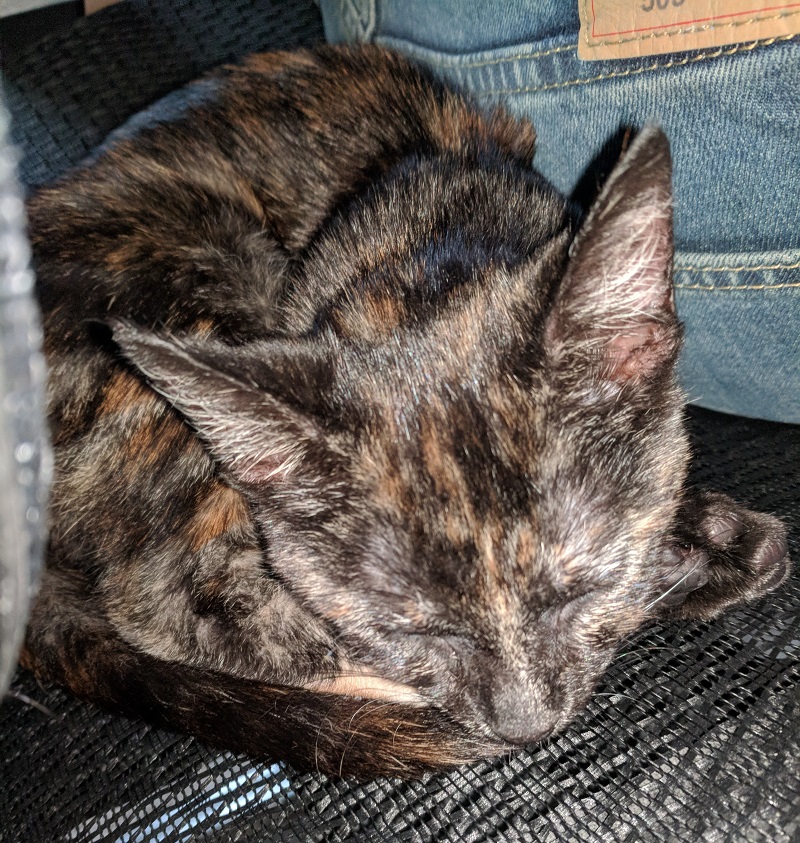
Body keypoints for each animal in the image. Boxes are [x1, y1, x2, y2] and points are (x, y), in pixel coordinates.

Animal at [20, 44, 792, 772]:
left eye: (581, 591)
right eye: (414, 630)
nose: (526, 726)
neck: (426, 256)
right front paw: (693, 554)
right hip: (216, 258)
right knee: (170, 604)